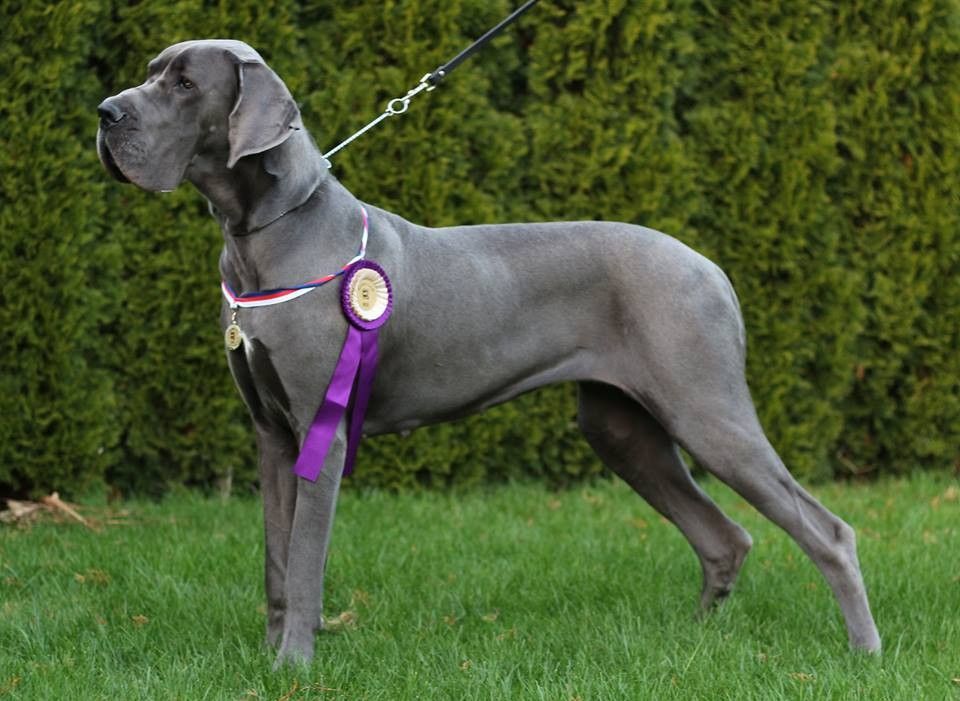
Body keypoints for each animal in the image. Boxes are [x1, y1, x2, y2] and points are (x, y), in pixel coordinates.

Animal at [97, 39, 881, 665]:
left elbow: (307, 556)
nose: (105, 111)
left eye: (184, 83)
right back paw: (696, 640)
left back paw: (863, 650)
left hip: (706, 410)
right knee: (724, 537)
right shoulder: (273, 433)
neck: (266, 231)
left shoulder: (324, 426)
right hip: (621, 428)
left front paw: (293, 666)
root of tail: (709, 265)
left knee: (829, 530)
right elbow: (275, 559)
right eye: (152, 73)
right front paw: (268, 658)